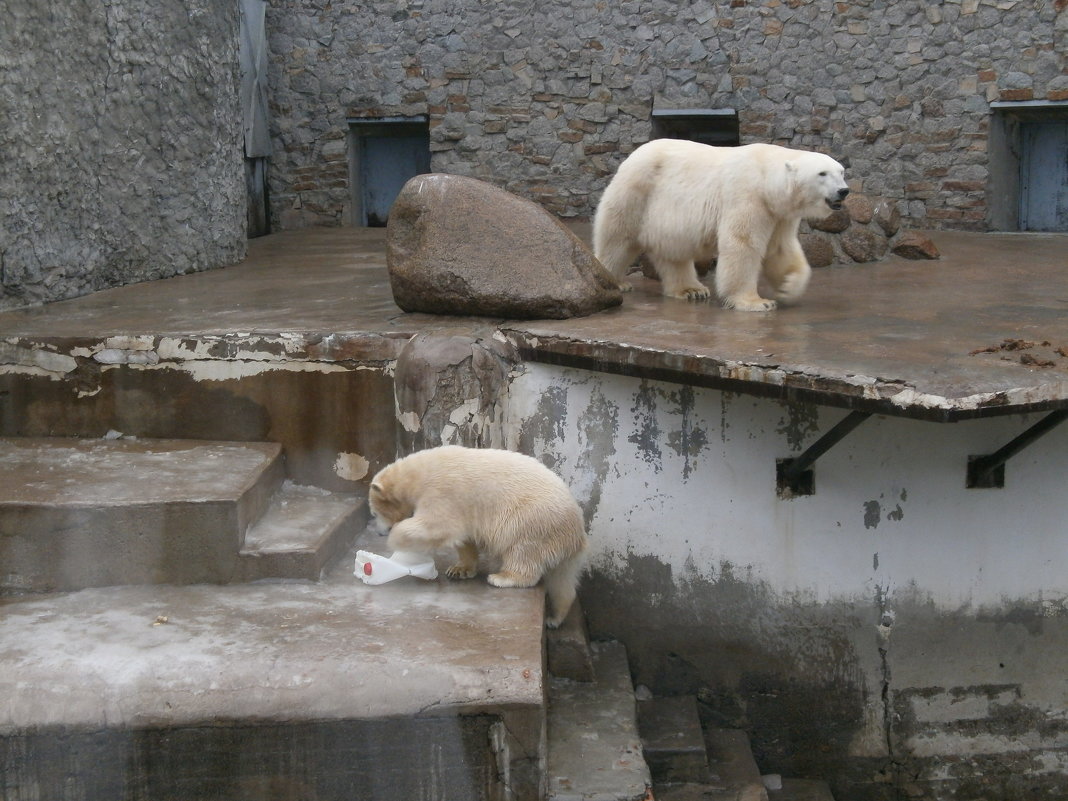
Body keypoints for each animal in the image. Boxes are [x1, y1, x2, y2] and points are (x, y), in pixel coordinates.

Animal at [593, 139, 850, 311]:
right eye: (822, 173)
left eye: (841, 172)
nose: (843, 191)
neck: (766, 178)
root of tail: (631, 156)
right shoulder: (748, 196)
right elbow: (742, 244)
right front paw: (757, 302)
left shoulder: (779, 214)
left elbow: (780, 249)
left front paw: (788, 286)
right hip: (636, 192)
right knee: (616, 240)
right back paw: (614, 281)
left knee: (673, 253)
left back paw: (692, 290)